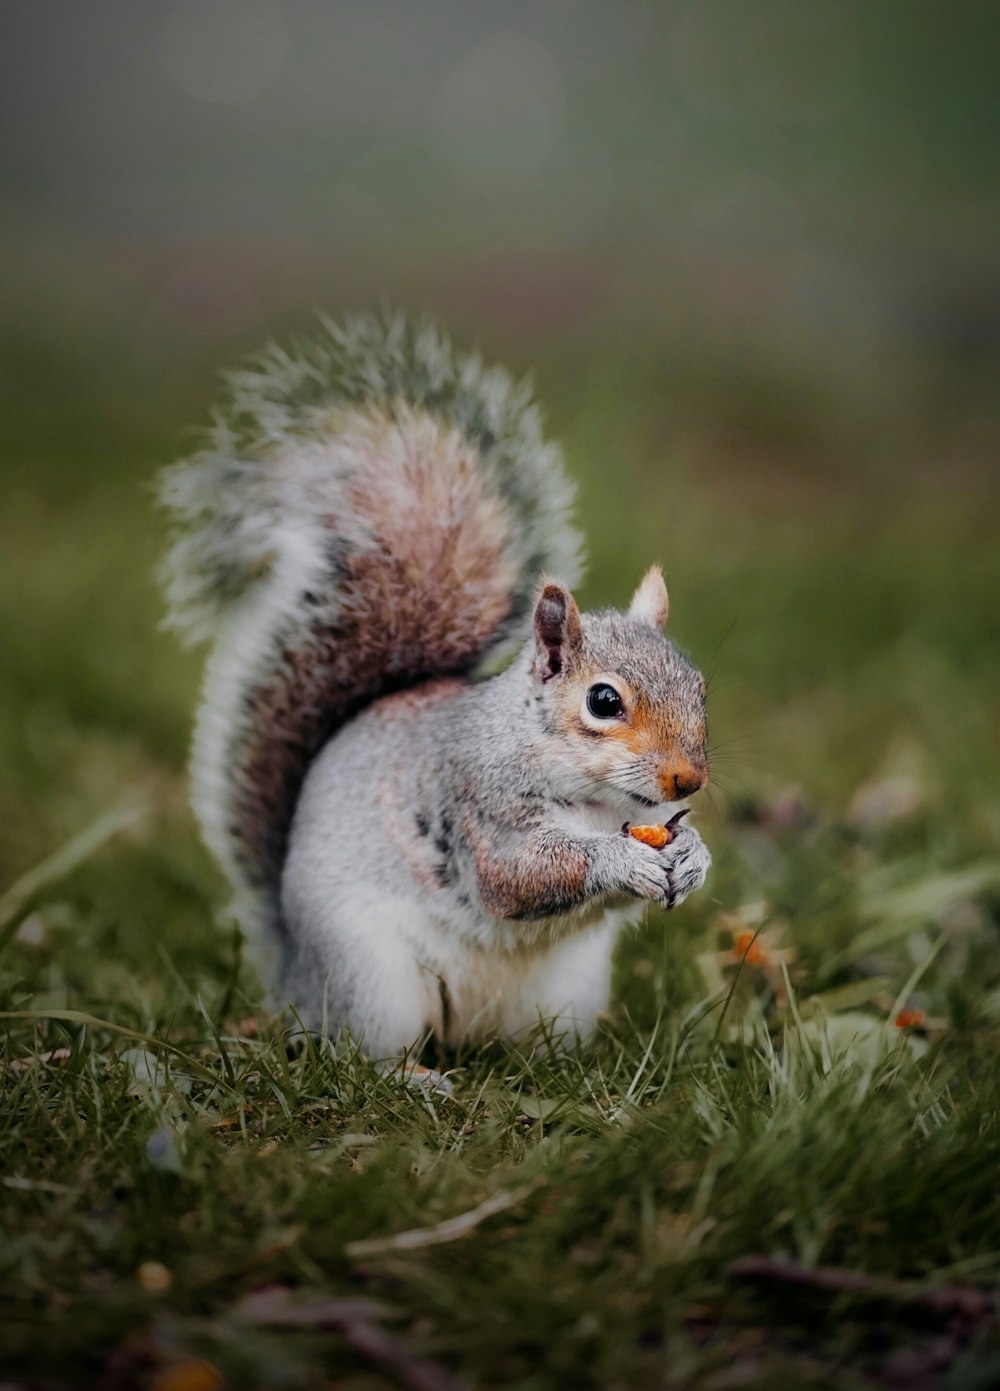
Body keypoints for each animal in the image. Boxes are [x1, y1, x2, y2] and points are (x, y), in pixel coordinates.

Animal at [162, 312, 712, 1051]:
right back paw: (414, 1070)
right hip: (370, 979)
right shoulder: (482, 803)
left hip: (568, 992)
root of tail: (297, 980)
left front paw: (696, 855)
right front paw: (619, 862)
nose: (689, 779)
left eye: (700, 687)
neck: (602, 801)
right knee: (362, 1050)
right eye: (603, 701)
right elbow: (517, 875)